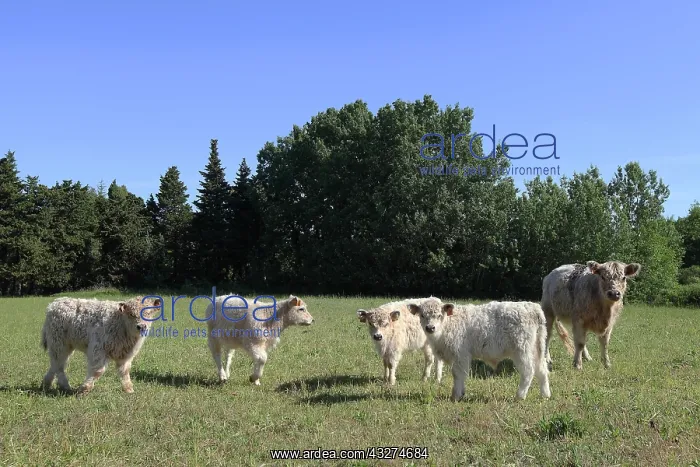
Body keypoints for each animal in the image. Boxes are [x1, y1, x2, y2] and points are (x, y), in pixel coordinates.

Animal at [408, 297, 551, 402]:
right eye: (422, 315)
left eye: (439, 315)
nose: (430, 328)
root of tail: (533, 307)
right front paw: (461, 393)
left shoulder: (461, 354)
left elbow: (458, 374)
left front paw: (456, 396)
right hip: (537, 348)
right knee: (542, 370)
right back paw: (545, 395)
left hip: (522, 350)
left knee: (528, 371)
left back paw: (519, 396)